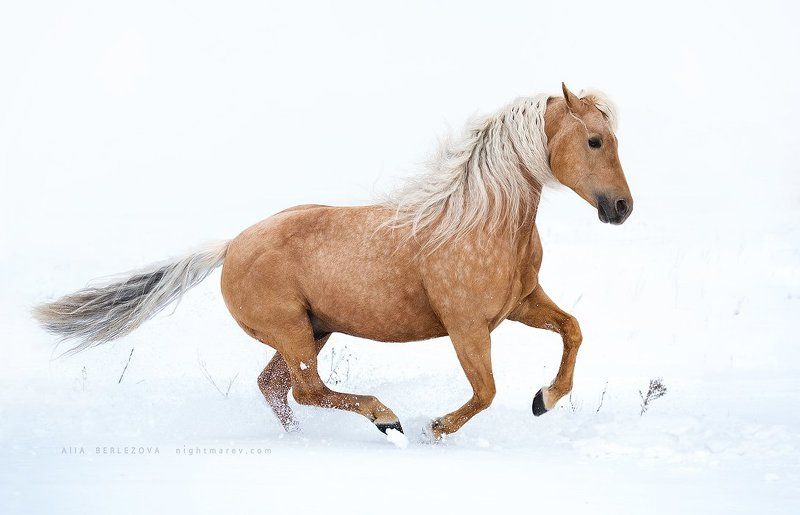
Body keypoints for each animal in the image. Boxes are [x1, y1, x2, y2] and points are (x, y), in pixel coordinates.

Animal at [33, 83, 633, 440]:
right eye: (595, 141)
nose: (621, 208)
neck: (480, 221)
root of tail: (229, 246)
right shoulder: (466, 326)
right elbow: (484, 392)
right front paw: (434, 428)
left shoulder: (521, 304)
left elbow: (573, 330)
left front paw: (544, 400)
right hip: (294, 333)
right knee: (306, 390)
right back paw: (386, 418)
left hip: (313, 330)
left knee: (274, 388)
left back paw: (303, 441)